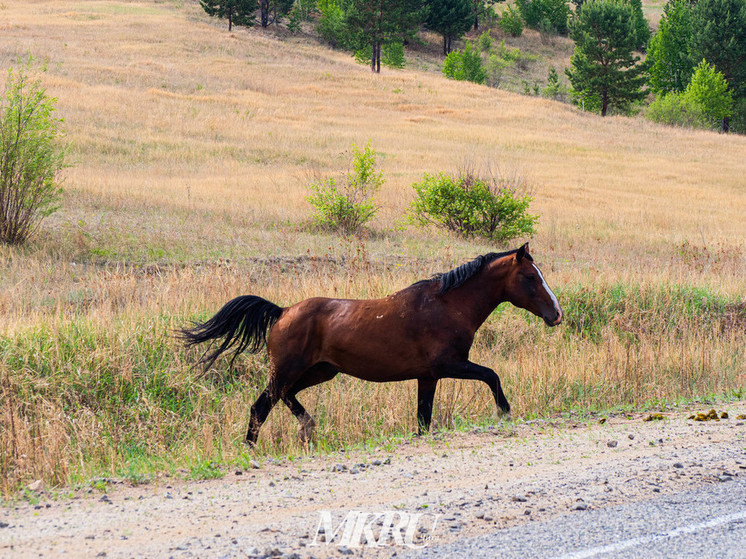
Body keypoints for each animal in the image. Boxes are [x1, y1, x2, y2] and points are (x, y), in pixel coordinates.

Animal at [180, 243, 560, 444]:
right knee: (261, 406)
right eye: (530, 277)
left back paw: (307, 428)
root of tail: (283, 311)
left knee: (286, 398)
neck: (447, 305)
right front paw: (504, 412)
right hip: (288, 370)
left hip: (320, 371)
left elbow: (423, 420)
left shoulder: (428, 376)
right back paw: (252, 448)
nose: (556, 314)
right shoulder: (447, 365)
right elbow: (491, 375)